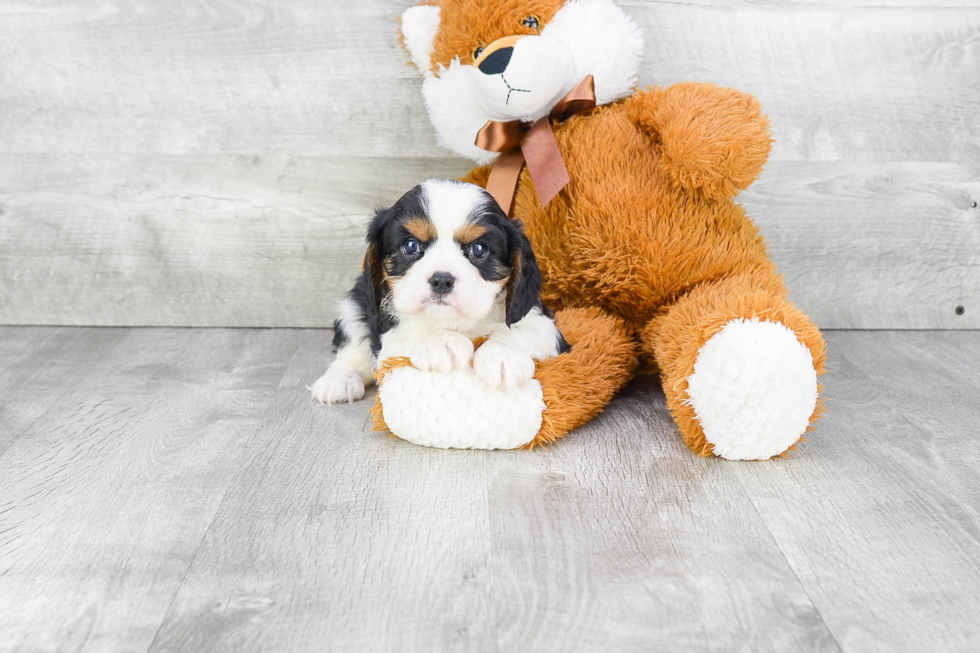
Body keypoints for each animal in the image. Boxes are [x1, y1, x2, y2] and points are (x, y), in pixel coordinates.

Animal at [310, 178, 572, 402]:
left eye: (478, 249)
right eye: (411, 246)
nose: (442, 280)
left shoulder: (543, 322)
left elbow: (521, 330)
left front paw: (502, 354)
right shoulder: (386, 337)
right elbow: (407, 332)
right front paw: (440, 342)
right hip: (353, 304)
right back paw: (339, 381)